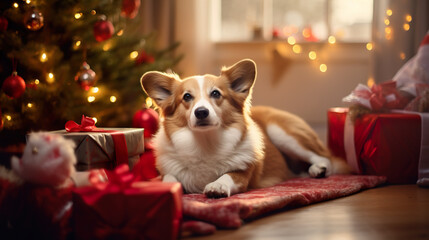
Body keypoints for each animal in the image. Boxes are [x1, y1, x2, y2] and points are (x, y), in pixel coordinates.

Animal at [140, 59, 348, 198]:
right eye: (187, 97)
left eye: (216, 93)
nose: (201, 112)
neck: (206, 142)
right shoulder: (169, 170)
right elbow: (168, 178)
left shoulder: (243, 173)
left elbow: (228, 175)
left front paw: (217, 186)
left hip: (282, 132)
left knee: (325, 158)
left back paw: (318, 170)